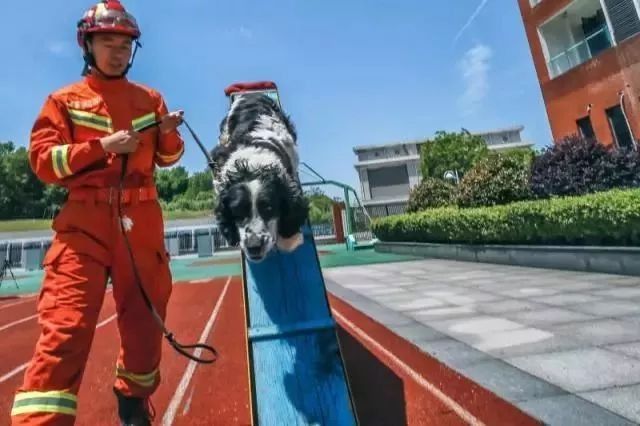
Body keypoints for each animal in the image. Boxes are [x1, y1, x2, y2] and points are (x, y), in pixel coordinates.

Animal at [211, 93, 308, 262]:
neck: (252, 166)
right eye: (237, 210)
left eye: (269, 208)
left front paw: (289, 239)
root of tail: (250, 93)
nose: (254, 246)